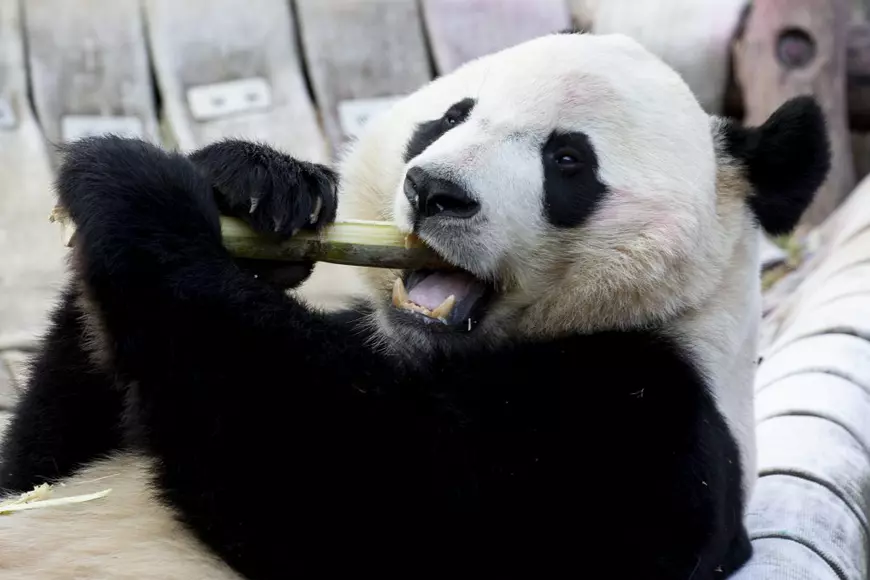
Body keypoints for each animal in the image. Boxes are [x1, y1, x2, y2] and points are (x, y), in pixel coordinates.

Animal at [0, 32, 829, 579]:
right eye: (451, 117)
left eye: (567, 160)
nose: (435, 191)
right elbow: (35, 471)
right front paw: (253, 184)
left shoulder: (643, 428)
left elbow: (368, 493)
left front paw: (133, 189)